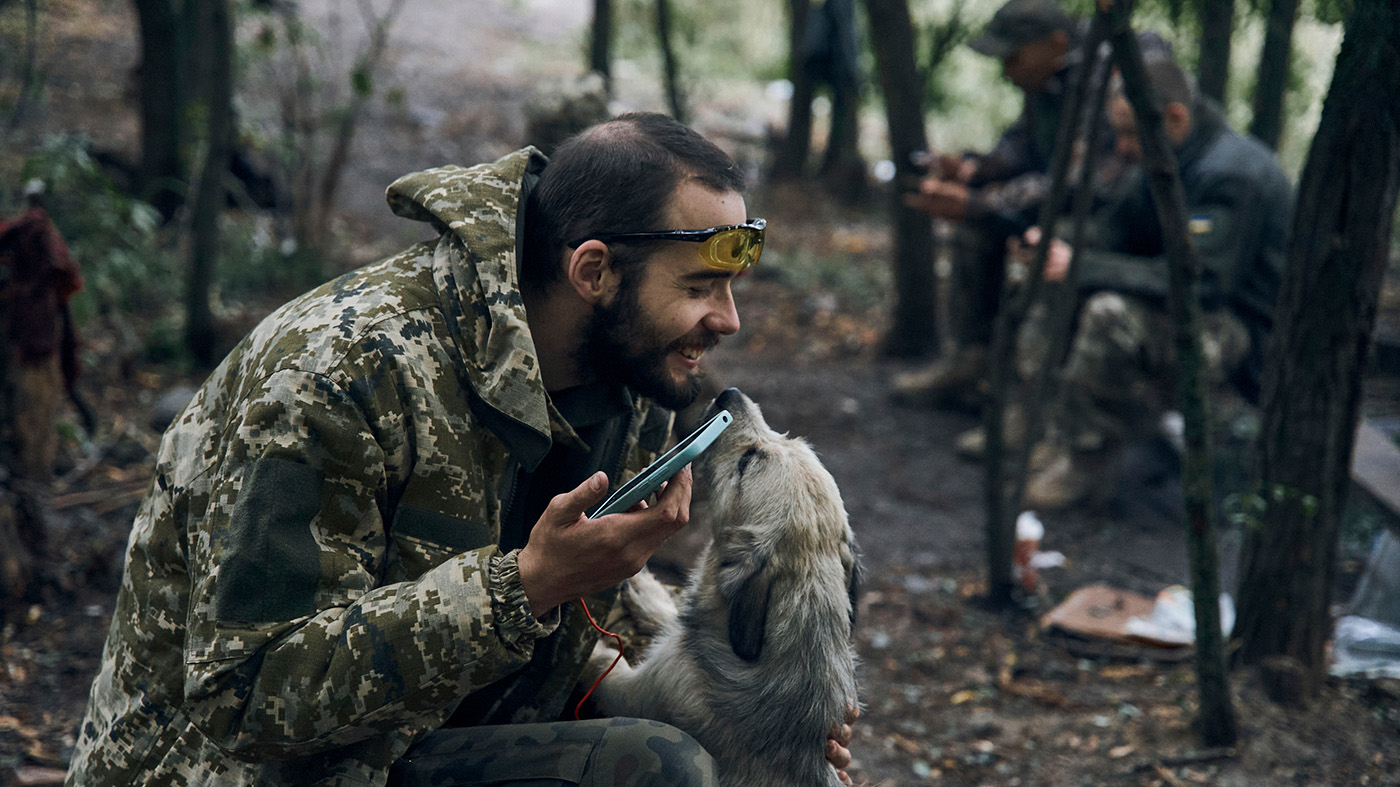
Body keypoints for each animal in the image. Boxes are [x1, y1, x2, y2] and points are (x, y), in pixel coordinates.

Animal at [585, 386, 856, 784]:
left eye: (747, 461)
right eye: (789, 438)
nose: (730, 394)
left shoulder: (643, 689)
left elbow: (601, 664)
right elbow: (672, 616)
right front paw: (646, 592)